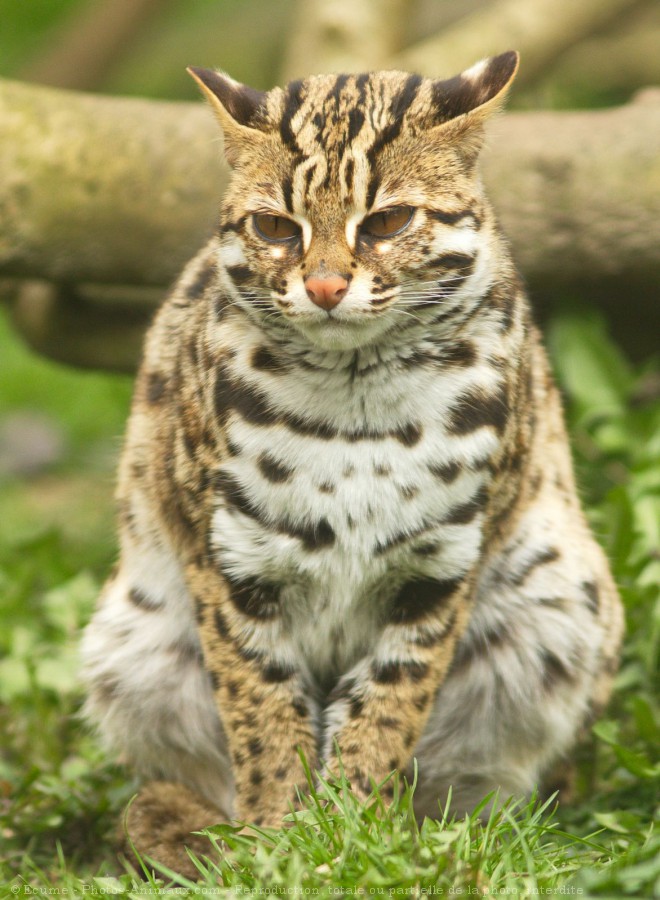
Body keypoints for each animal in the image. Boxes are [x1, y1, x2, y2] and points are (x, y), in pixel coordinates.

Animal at [81, 51, 624, 872]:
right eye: (275, 226)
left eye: (389, 221)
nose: (326, 285)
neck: (356, 399)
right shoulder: (230, 560)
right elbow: (262, 708)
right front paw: (278, 841)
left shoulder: (440, 568)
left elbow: (388, 708)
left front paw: (351, 837)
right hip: (130, 638)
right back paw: (188, 827)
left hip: (566, 595)